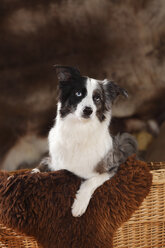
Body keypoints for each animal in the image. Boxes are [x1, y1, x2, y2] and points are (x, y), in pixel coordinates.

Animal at [32, 66, 137, 217]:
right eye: (78, 93)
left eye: (97, 98)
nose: (88, 110)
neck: (80, 129)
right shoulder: (53, 162)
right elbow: (39, 167)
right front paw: (31, 174)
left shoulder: (110, 169)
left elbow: (90, 182)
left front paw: (78, 205)